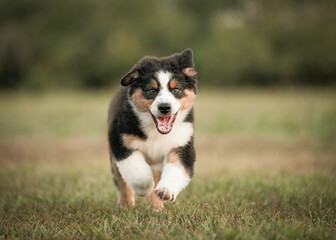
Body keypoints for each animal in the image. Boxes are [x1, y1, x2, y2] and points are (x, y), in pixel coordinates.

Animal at [107, 48, 197, 210]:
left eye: (176, 90)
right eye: (151, 90)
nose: (164, 107)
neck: (156, 132)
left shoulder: (183, 143)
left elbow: (176, 168)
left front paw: (165, 191)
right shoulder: (120, 142)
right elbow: (137, 172)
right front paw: (145, 189)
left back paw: (156, 208)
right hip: (114, 159)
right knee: (122, 182)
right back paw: (126, 206)